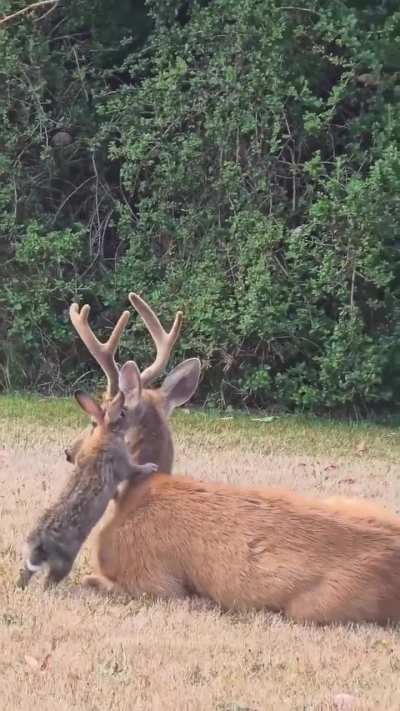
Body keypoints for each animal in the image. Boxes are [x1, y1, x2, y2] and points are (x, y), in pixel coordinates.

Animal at [17, 363, 158, 591]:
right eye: (122, 413)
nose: (132, 416)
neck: (105, 434)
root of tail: (40, 545)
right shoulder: (123, 463)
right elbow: (134, 469)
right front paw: (150, 467)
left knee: (25, 572)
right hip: (65, 561)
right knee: (50, 581)